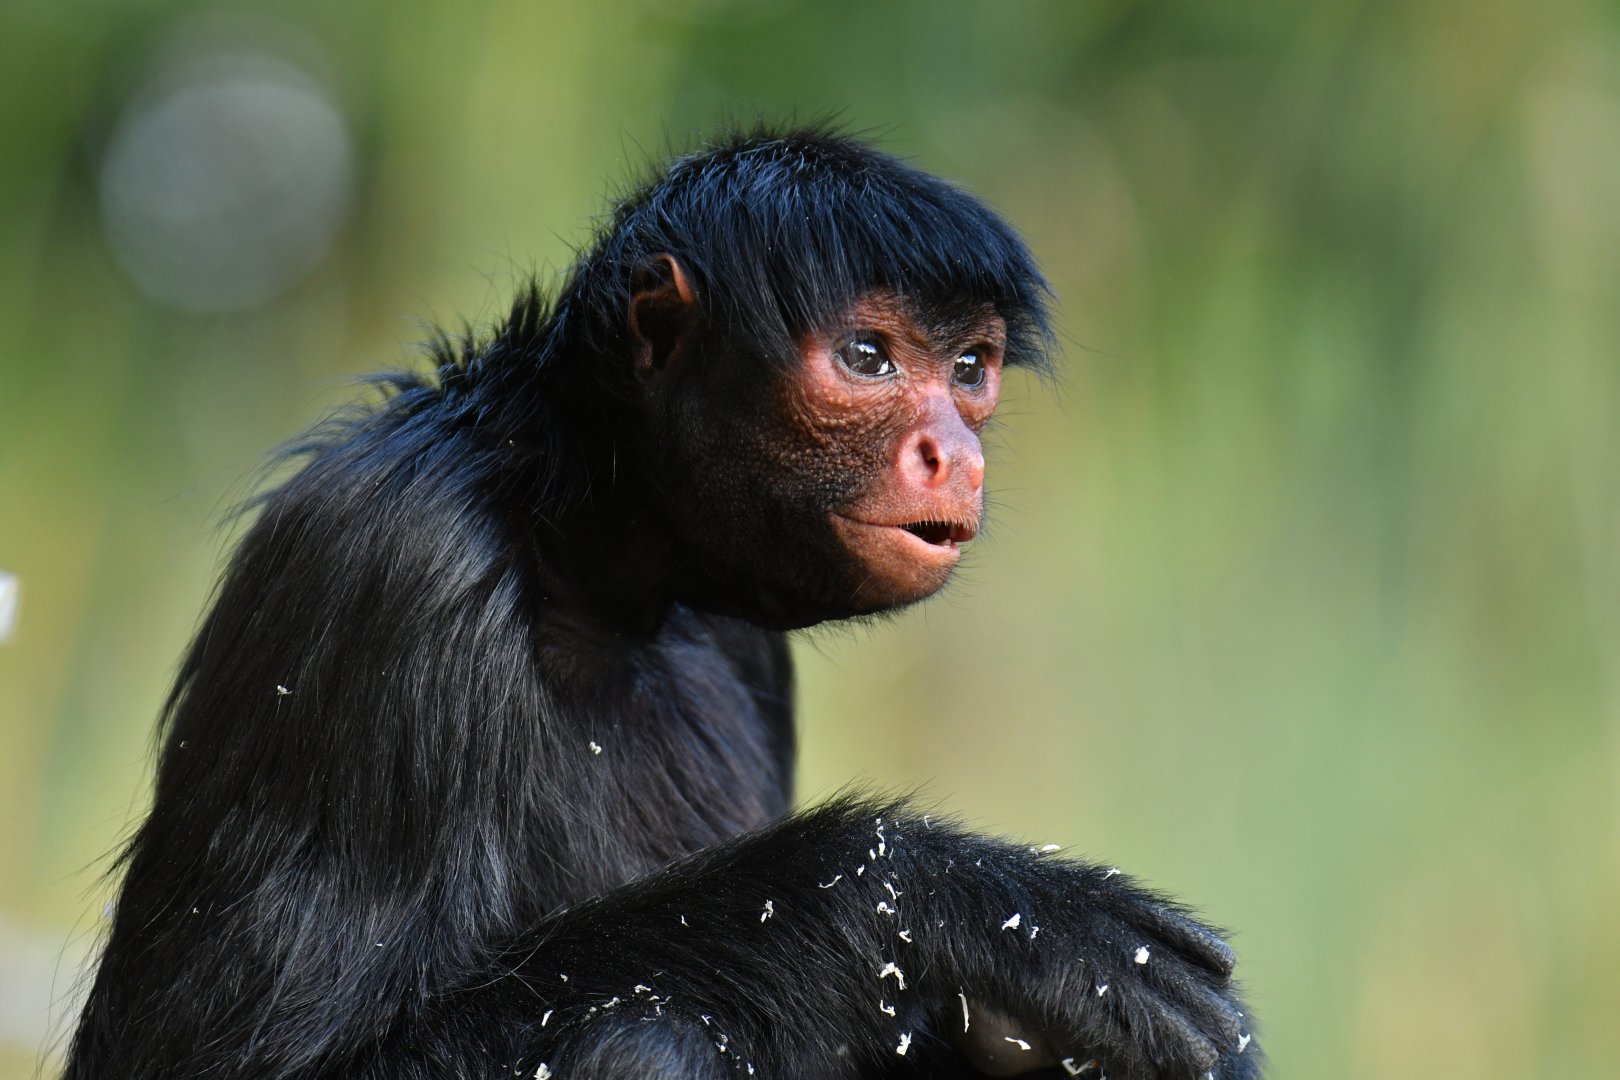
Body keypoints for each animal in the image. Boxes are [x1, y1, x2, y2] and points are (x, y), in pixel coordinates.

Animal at [66, 127, 1259, 1080]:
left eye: (970, 369)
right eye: (868, 357)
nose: (952, 452)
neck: (576, 552)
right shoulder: (386, 559)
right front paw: (936, 896)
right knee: (642, 1038)